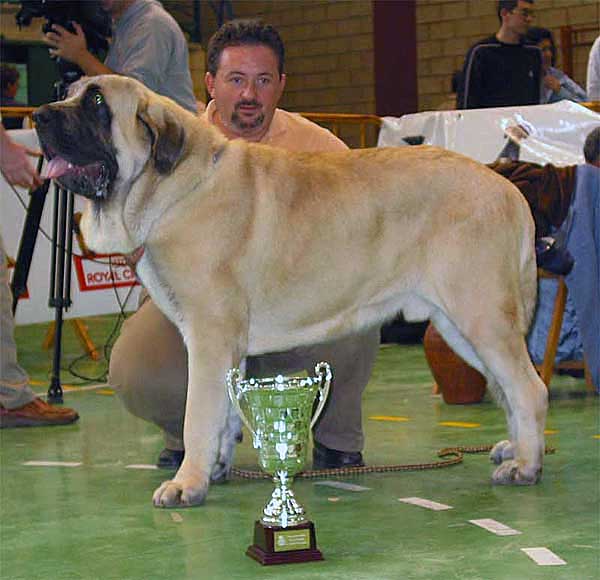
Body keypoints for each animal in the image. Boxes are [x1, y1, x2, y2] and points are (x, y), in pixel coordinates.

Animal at [34, 76, 548, 508]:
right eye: (71, 93)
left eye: (97, 103)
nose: (39, 115)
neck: (175, 187)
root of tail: (508, 190)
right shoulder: (227, 347)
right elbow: (223, 413)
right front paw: (215, 467)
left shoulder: (208, 336)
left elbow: (198, 413)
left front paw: (187, 483)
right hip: (461, 326)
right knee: (507, 386)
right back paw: (515, 448)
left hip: (480, 315)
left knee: (528, 387)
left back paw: (526, 466)